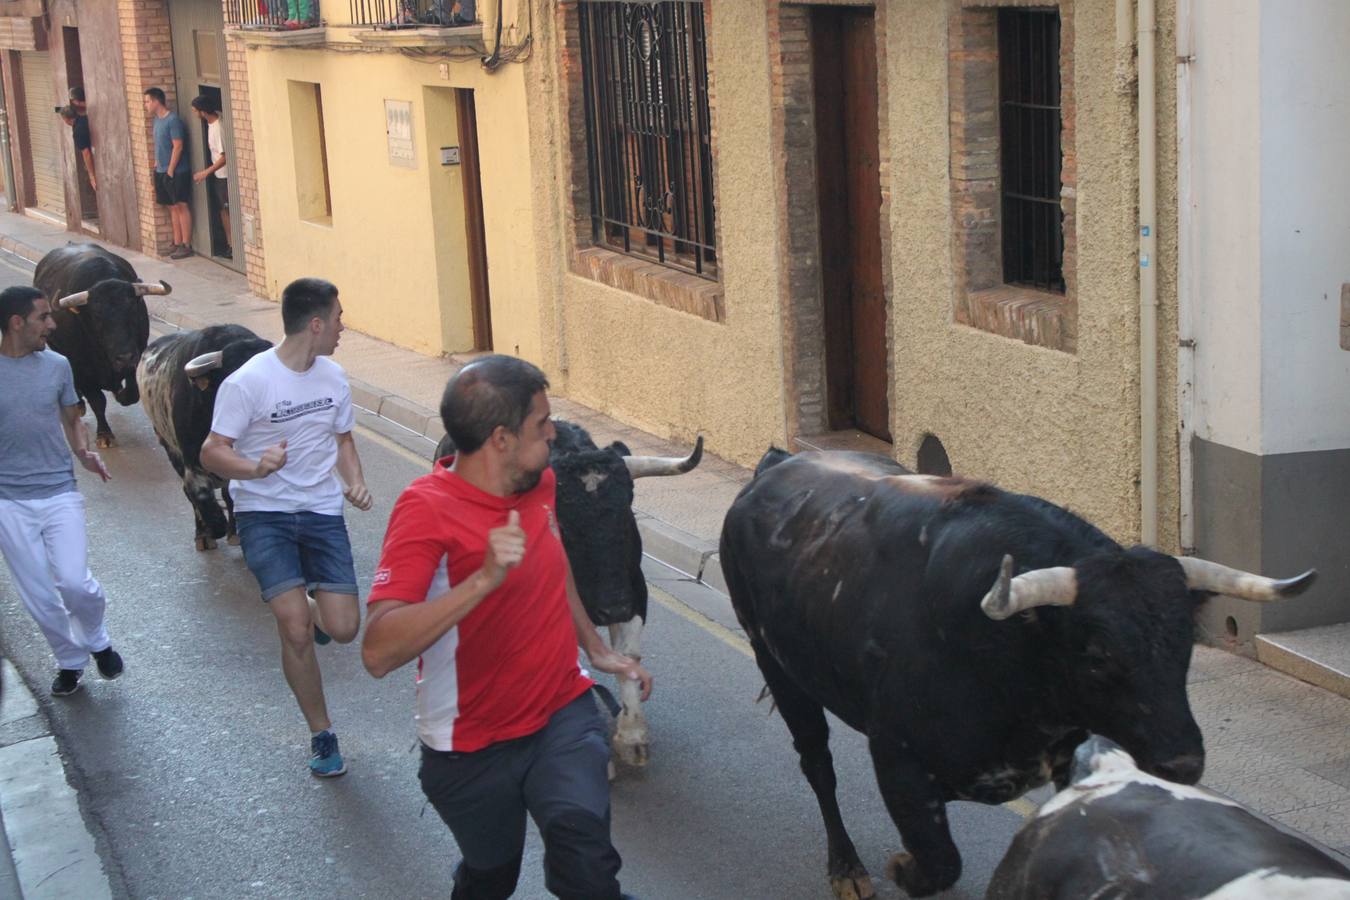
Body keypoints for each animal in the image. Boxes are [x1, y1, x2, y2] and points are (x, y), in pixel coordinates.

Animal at [33, 242, 170, 447]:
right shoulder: (82, 368)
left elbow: (132, 393)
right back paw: (79, 405)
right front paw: (104, 434)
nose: (124, 357)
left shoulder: (136, 355)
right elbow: (97, 401)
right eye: (96, 315)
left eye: (132, 309)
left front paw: (120, 393)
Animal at [138, 323, 272, 550]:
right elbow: (199, 495)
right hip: (169, 448)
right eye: (234, 379)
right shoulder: (192, 463)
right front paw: (209, 532)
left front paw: (235, 532)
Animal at [434, 418, 707, 766]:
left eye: (625, 513)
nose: (612, 608)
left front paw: (632, 735)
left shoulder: (635, 591)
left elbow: (627, 655)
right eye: (564, 524)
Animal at [723, 450, 1312, 900]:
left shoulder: (1066, 757)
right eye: (1097, 654)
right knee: (818, 765)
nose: (1183, 762)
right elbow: (941, 860)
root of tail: (775, 465)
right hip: (778, 666)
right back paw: (846, 869)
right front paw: (901, 869)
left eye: (1184, 641)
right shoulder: (897, 760)